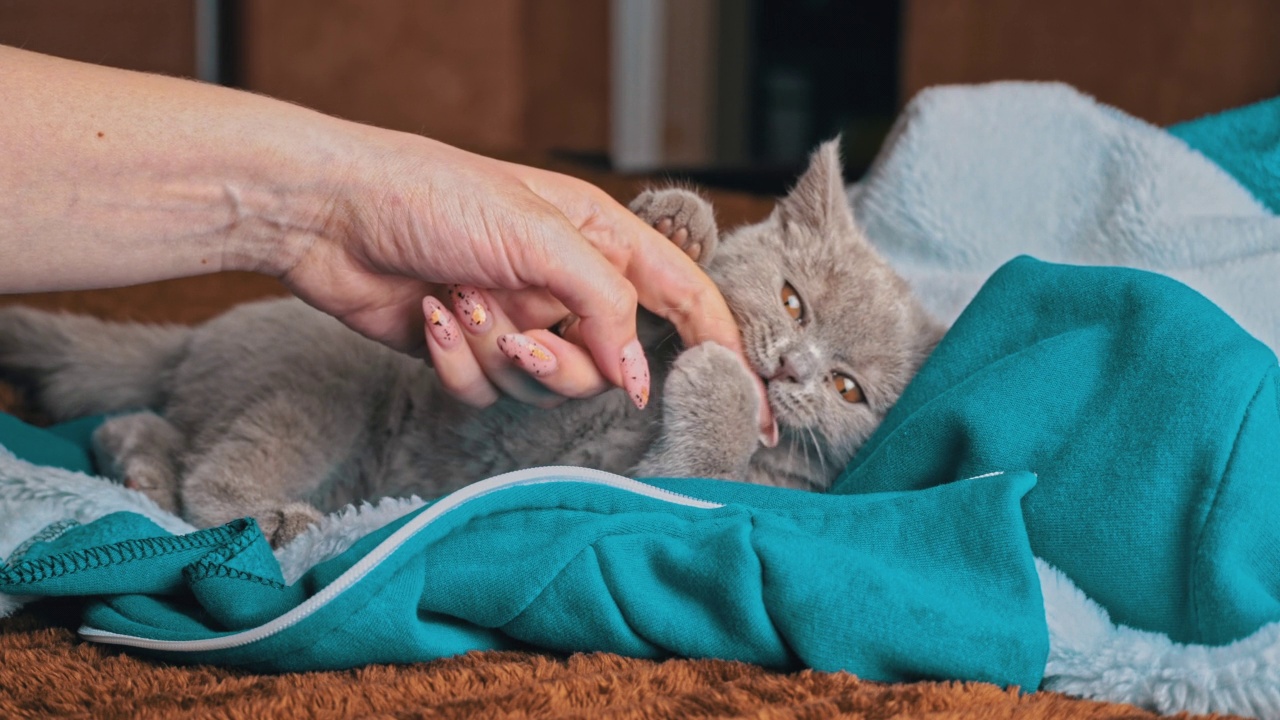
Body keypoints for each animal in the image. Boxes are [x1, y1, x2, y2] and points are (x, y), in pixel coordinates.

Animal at [0, 141, 942, 543]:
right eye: (793, 301)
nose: (789, 366)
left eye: (848, 389)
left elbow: (685, 469)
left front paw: (721, 384)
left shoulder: (638, 483)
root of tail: (199, 334)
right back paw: (227, 502)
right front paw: (676, 227)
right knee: (197, 448)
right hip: (320, 382)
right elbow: (615, 321)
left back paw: (171, 486)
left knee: (166, 439)